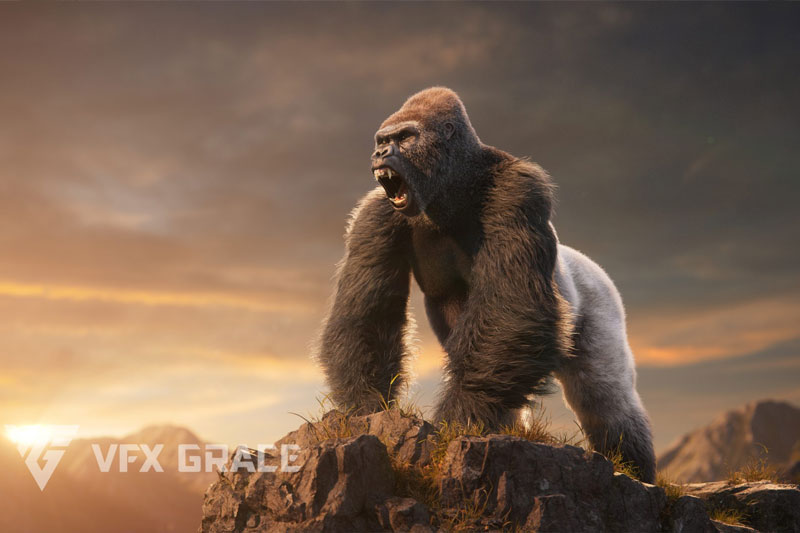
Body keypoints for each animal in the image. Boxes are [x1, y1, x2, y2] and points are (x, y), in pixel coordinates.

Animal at [316, 87, 656, 483]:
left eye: (406, 137)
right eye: (383, 141)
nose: (381, 154)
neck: (456, 180)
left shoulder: (518, 189)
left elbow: (517, 306)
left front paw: (456, 420)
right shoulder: (375, 214)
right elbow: (366, 316)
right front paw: (366, 406)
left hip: (601, 296)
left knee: (604, 397)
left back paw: (634, 470)